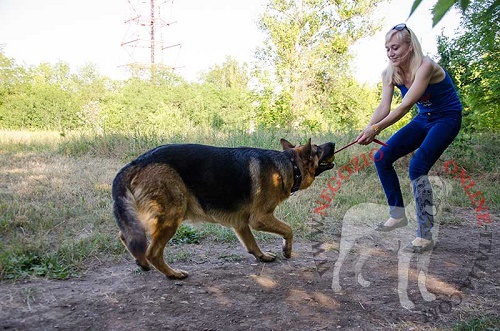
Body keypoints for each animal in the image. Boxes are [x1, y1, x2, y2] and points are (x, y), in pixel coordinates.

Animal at [111, 139, 334, 278]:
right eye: (317, 149)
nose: (332, 143)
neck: (288, 164)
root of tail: (137, 162)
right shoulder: (260, 219)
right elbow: (289, 230)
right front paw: (287, 250)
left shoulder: (241, 223)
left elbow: (251, 243)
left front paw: (261, 256)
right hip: (172, 217)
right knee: (153, 252)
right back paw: (172, 274)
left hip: (152, 217)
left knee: (127, 235)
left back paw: (141, 262)